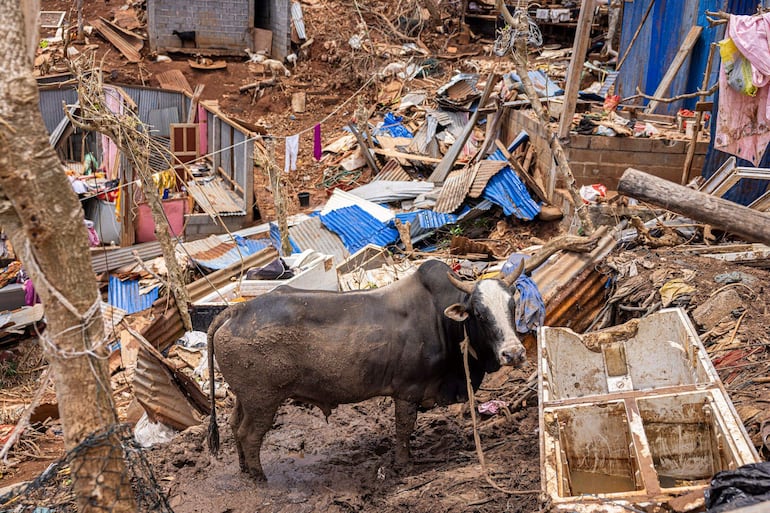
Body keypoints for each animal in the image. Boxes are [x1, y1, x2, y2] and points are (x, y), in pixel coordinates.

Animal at [207, 260, 524, 480]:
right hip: (264, 400)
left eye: (512, 306)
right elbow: (404, 429)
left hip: (246, 398)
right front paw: (404, 465)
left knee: (234, 425)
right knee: (249, 434)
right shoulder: (407, 391)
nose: (514, 353)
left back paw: (244, 469)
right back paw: (259, 476)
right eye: (480, 314)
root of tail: (237, 310)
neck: (440, 319)